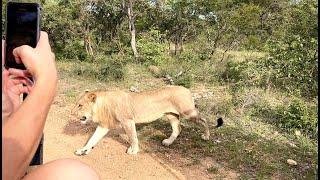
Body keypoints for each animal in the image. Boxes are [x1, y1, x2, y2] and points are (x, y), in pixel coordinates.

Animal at [71, 85, 224, 155]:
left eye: (80, 105)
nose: (71, 113)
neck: (103, 105)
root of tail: (187, 89)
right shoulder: (104, 126)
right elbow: (92, 139)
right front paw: (83, 150)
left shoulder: (128, 121)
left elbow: (133, 137)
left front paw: (133, 150)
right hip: (171, 115)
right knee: (178, 128)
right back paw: (168, 142)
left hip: (188, 113)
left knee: (203, 120)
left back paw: (206, 136)